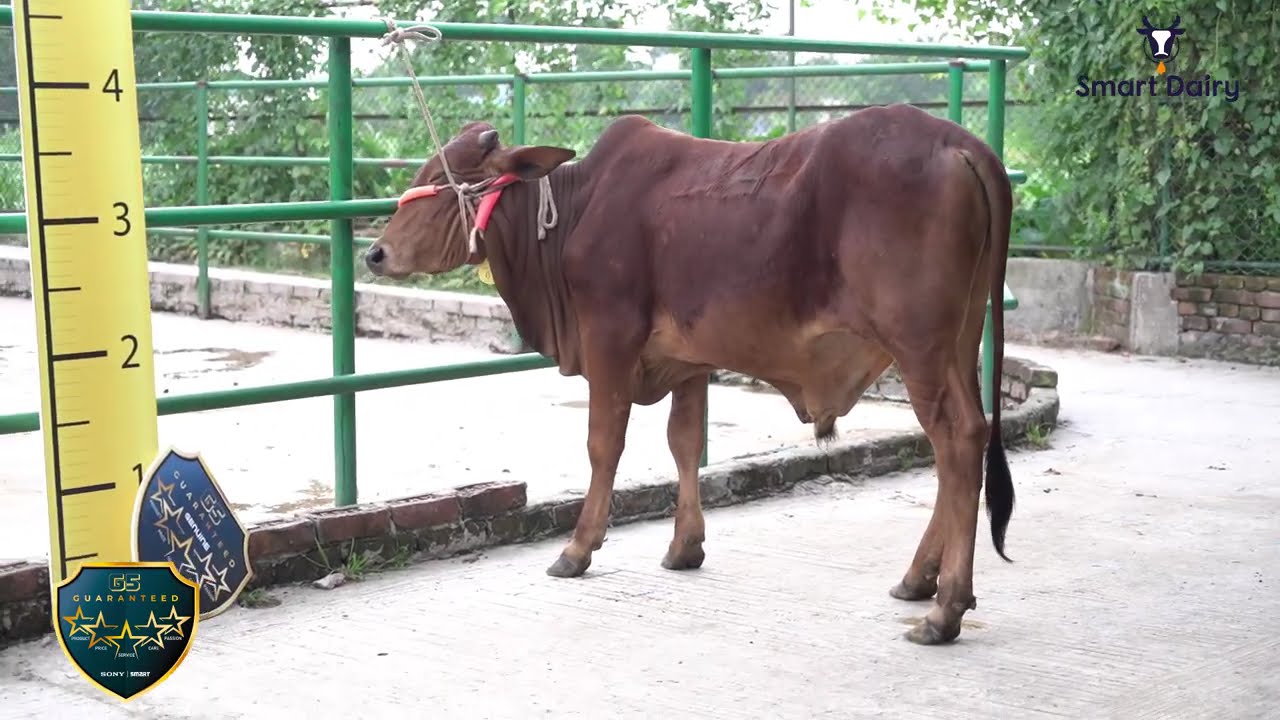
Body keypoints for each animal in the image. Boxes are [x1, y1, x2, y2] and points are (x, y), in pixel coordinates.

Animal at [363, 104, 1015, 645]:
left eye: (447, 174)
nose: (375, 253)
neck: (574, 211)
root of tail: (962, 144)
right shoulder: (689, 359)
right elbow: (684, 441)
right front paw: (685, 546)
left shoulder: (609, 338)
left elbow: (604, 445)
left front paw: (578, 548)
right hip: (961, 339)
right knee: (965, 438)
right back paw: (919, 579)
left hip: (918, 345)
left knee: (956, 441)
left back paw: (944, 608)